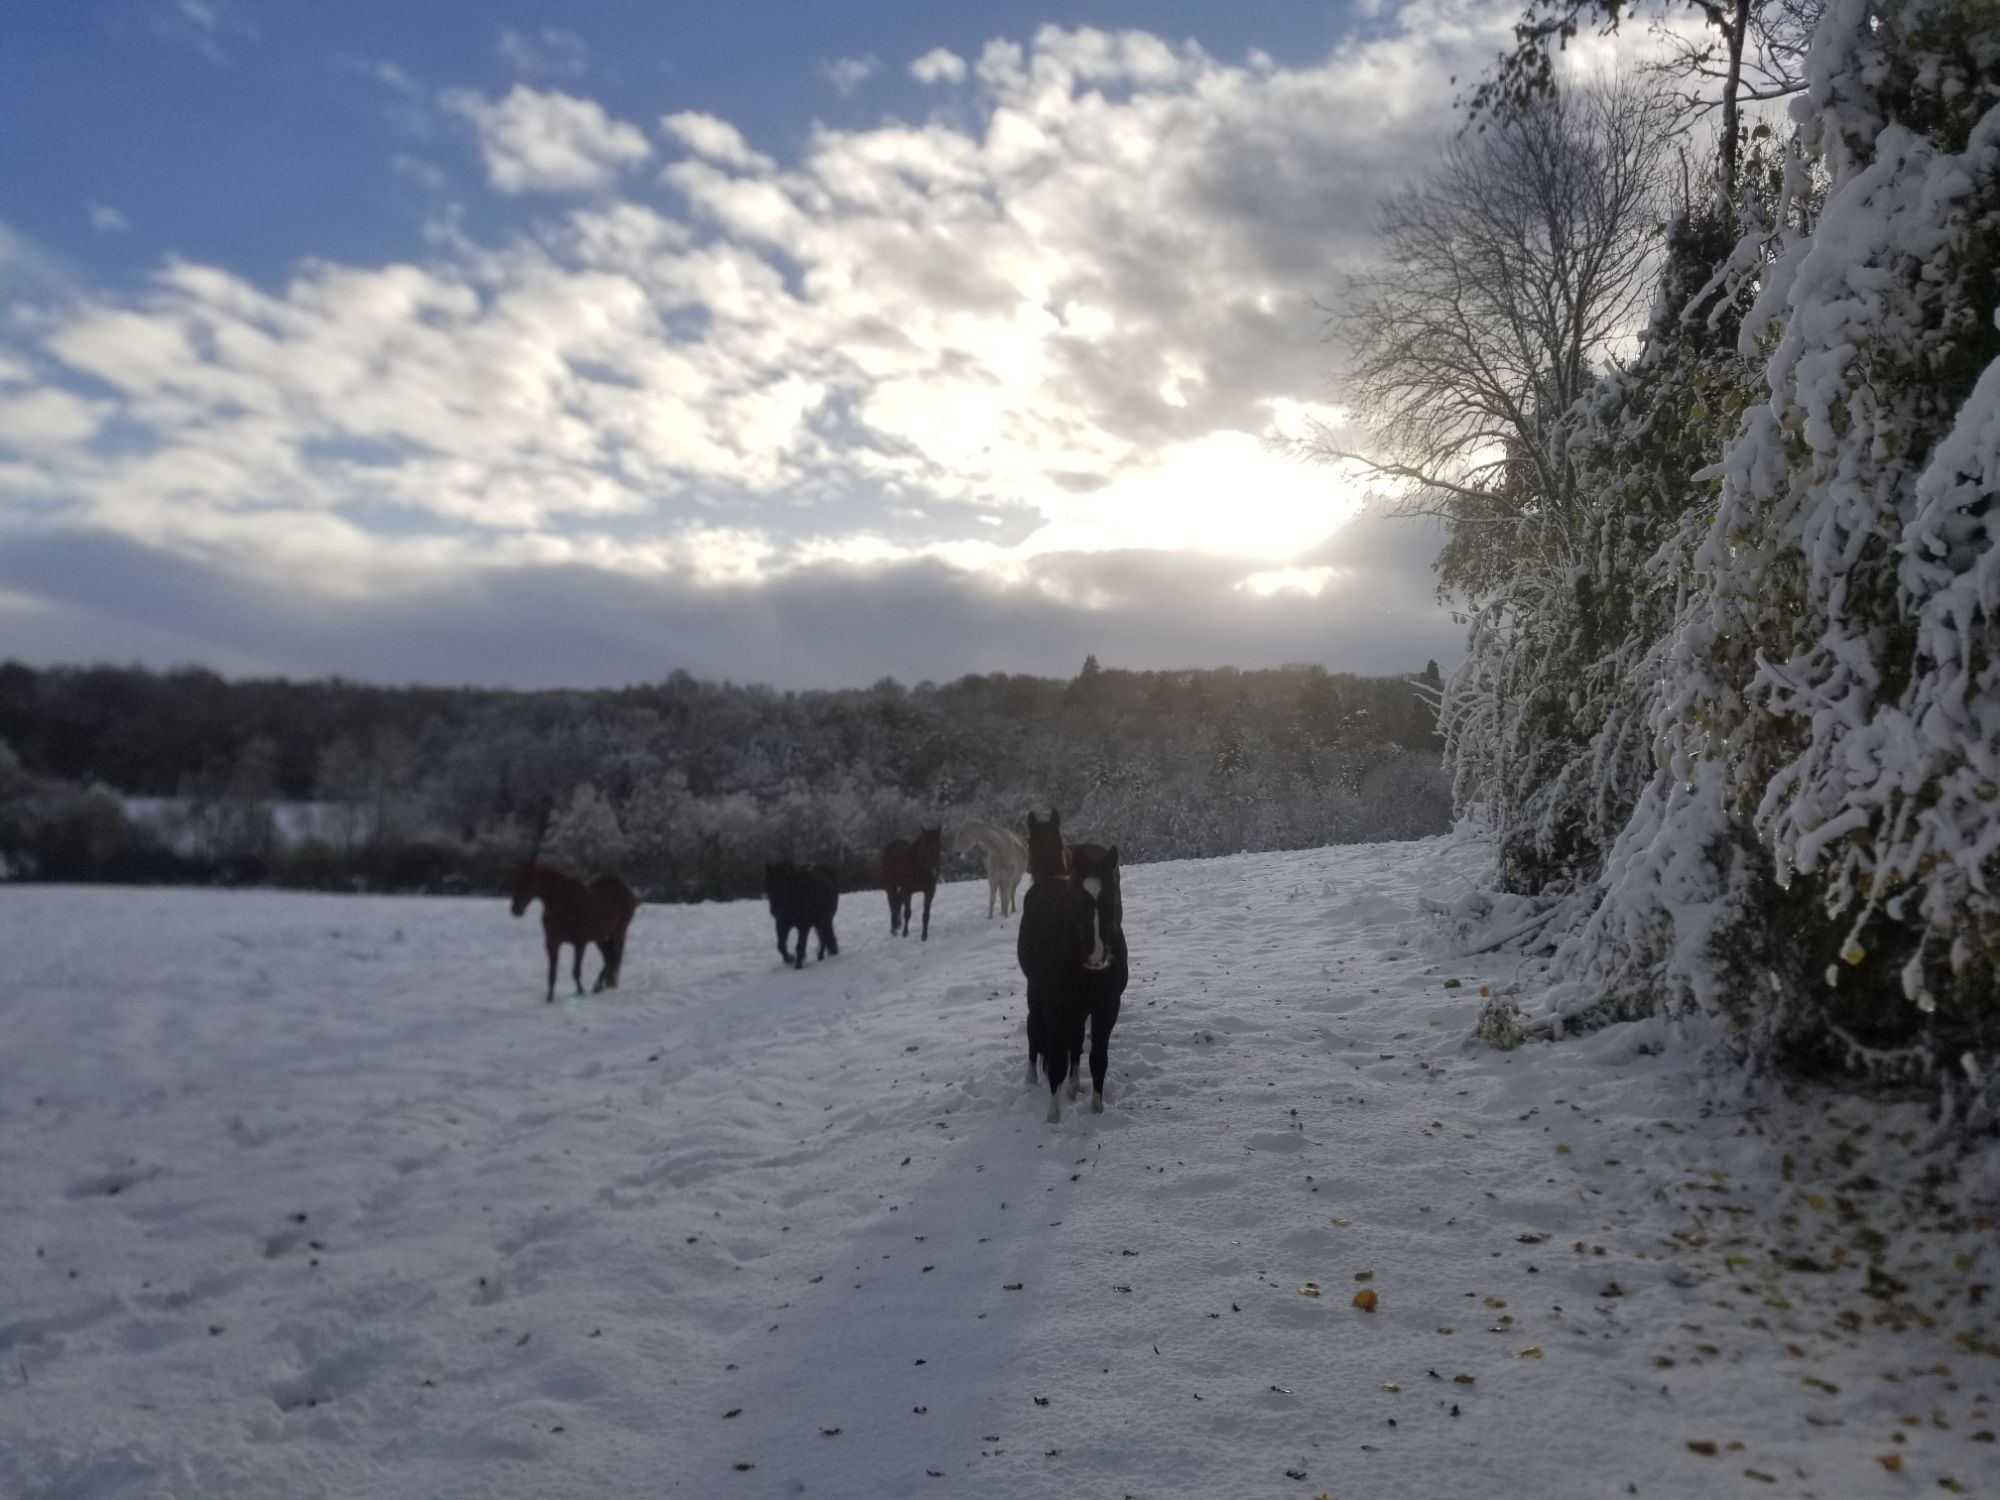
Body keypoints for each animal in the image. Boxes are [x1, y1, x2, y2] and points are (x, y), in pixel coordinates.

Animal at [509, 860, 639, 1004]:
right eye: (516, 880)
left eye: (527, 881)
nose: (515, 910)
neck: (563, 904)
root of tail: (626, 889)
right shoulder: (552, 943)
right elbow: (552, 973)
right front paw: (549, 999)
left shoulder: (579, 943)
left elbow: (576, 971)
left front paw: (580, 991)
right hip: (601, 937)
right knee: (609, 958)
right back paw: (602, 985)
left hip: (618, 932)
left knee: (613, 958)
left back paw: (597, 986)